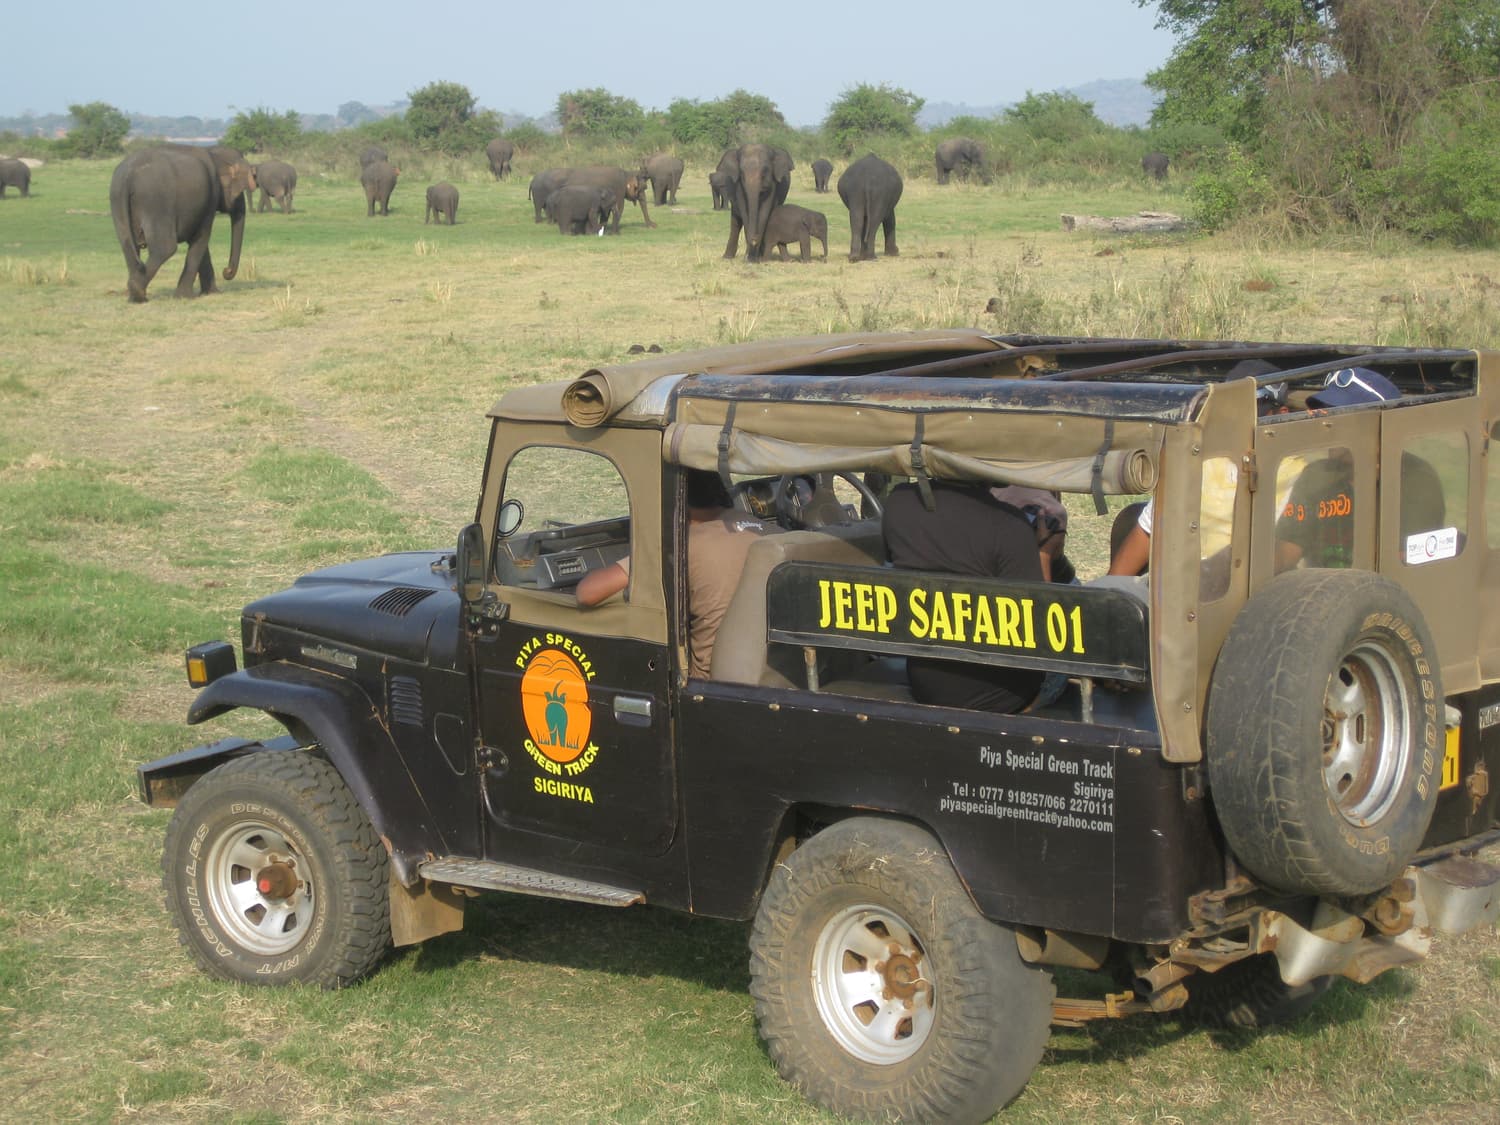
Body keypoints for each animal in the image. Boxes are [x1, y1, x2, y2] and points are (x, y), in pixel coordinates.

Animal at [108, 143, 256, 303]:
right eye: (240, 193)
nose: (226, 270)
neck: (212, 151)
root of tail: (128, 175)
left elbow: (199, 243)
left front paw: (212, 293)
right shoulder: (211, 196)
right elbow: (201, 238)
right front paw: (185, 296)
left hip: (117, 200)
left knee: (128, 246)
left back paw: (135, 297)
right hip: (157, 203)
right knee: (165, 248)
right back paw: (137, 290)